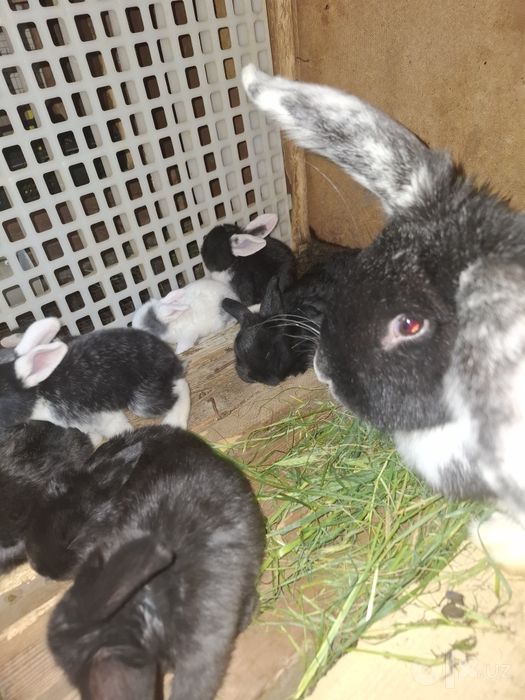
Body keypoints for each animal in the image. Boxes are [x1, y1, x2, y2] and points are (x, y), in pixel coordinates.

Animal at [0, 317, 190, 442]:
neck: (40, 393)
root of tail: (171, 358)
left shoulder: (104, 416)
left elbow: (119, 429)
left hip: (144, 402)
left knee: (182, 387)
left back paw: (174, 421)